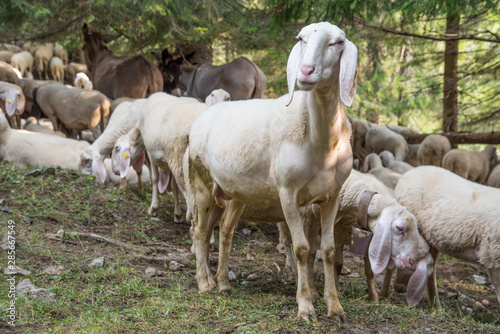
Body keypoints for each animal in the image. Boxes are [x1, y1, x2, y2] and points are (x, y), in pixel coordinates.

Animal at [186, 22, 358, 320]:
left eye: (338, 42)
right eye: (301, 39)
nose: (306, 71)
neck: (320, 143)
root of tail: (204, 115)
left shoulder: (332, 196)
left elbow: (328, 250)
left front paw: (335, 307)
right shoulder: (288, 192)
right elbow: (301, 249)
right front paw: (305, 307)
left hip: (231, 192)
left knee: (221, 230)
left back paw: (222, 283)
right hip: (201, 181)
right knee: (198, 230)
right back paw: (204, 284)